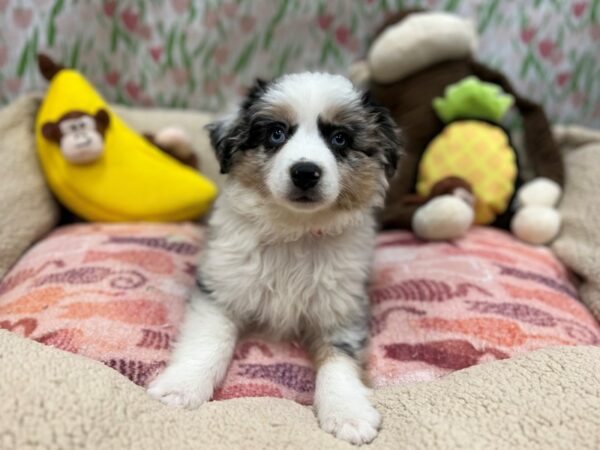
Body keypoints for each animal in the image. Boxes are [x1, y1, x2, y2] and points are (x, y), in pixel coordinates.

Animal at [149, 72, 404, 444]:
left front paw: (348, 412)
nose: (305, 172)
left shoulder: (342, 305)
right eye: (276, 133)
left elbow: (339, 360)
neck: (294, 232)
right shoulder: (222, 286)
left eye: (340, 138)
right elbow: (208, 340)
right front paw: (181, 386)